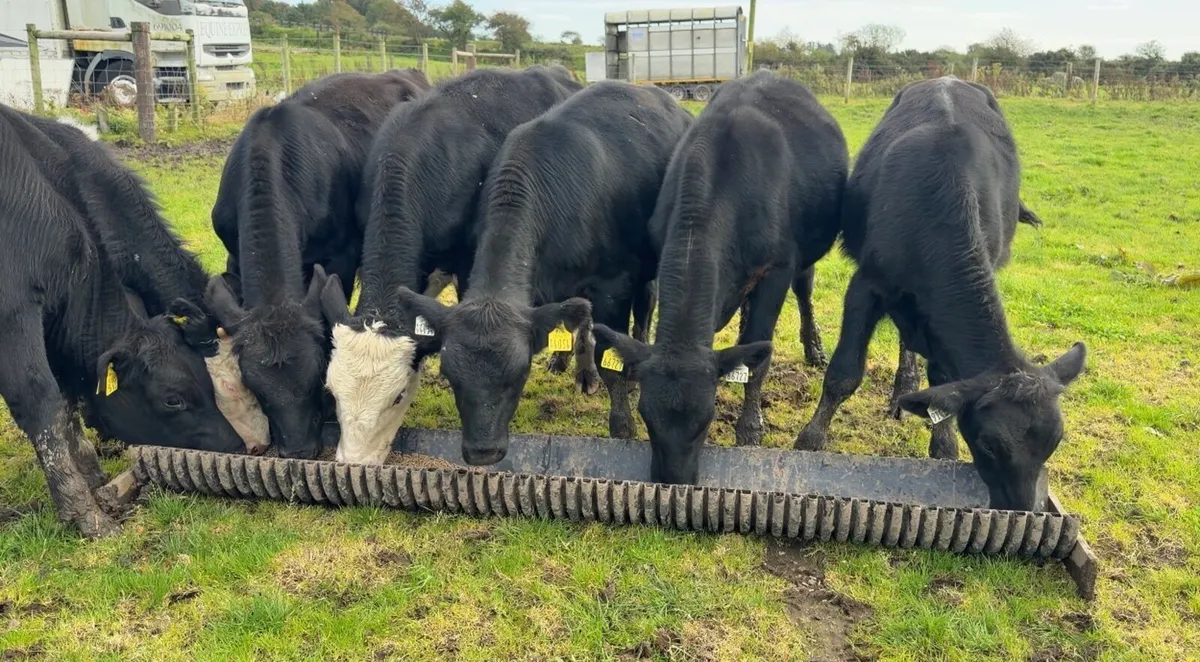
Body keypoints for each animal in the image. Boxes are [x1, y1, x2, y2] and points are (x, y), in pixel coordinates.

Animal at [0, 105, 246, 538]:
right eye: (173, 399)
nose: (240, 445)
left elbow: (67, 399)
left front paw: (93, 476)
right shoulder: (15, 312)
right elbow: (41, 402)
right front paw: (83, 509)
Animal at [375, 81, 694, 467]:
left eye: (518, 374)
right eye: (452, 376)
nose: (482, 451)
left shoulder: (613, 287)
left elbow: (609, 362)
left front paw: (622, 428)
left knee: (645, 308)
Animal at [591, 71, 849, 485]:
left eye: (706, 419)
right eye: (647, 417)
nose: (674, 481)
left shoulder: (777, 268)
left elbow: (761, 354)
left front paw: (750, 429)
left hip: (807, 251)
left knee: (804, 291)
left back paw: (814, 349)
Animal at [793, 77, 1086, 512]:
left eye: (1055, 441)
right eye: (990, 444)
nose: (1020, 508)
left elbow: (944, 380)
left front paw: (944, 447)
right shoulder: (866, 285)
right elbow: (844, 374)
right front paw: (810, 440)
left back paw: (904, 388)